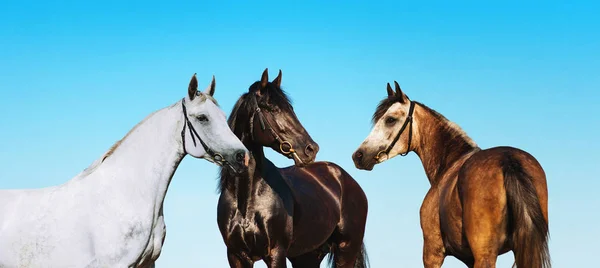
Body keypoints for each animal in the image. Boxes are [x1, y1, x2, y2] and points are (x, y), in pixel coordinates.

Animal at [218, 69, 370, 268]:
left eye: (290, 109)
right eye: (272, 109)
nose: (311, 149)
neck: (247, 197)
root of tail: (345, 179)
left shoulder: (276, 252)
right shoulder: (236, 256)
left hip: (346, 249)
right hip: (307, 256)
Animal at [354, 82, 552, 268]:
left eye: (390, 119)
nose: (358, 155)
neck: (450, 161)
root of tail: (508, 160)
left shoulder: (432, 252)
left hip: (485, 255)